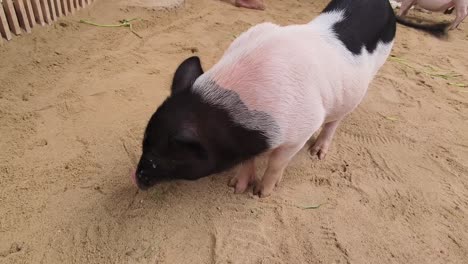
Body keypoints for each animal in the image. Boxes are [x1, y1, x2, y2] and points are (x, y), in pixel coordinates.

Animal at [133, 0, 430, 197]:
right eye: (144, 143)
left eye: (160, 157)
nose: (137, 178)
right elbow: (249, 160)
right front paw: (235, 187)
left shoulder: (302, 128)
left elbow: (277, 162)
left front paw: (260, 194)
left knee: (335, 120)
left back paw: (317, 154)